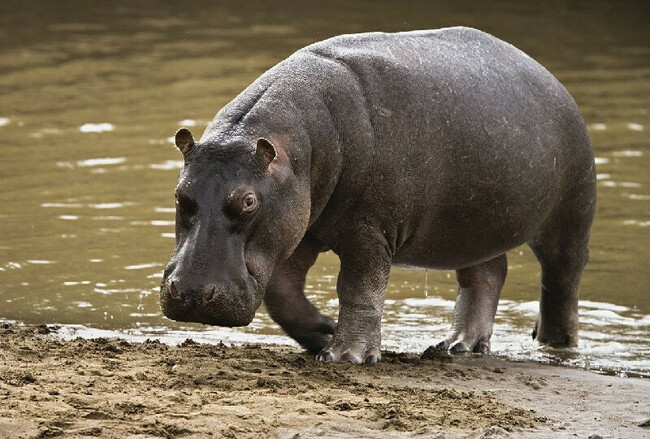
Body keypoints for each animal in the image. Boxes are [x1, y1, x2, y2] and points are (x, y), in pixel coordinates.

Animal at [158, 26, 592, 364]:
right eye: (180, 194)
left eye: (248, 201)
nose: (192, 293)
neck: (297, 147)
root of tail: (551, 78)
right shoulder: (299, 225)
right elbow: (282, 293)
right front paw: (322, 332)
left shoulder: (370, 229)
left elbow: (359, 289)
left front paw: (345, 356)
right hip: (473, 226)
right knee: (486, 274)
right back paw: (458, 346)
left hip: (570, 215)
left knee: (562, 282)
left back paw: (556, 347)